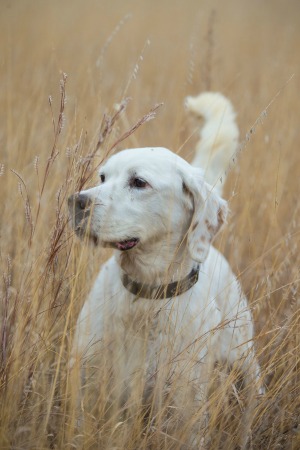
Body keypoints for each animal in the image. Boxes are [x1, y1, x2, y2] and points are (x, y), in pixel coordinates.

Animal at [69, 92, 264, 418]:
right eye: (103, 176)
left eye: (139, 182)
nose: (76, 201)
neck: (146, 298)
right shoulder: (87, 390)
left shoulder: (184, 407)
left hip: (244, 361)